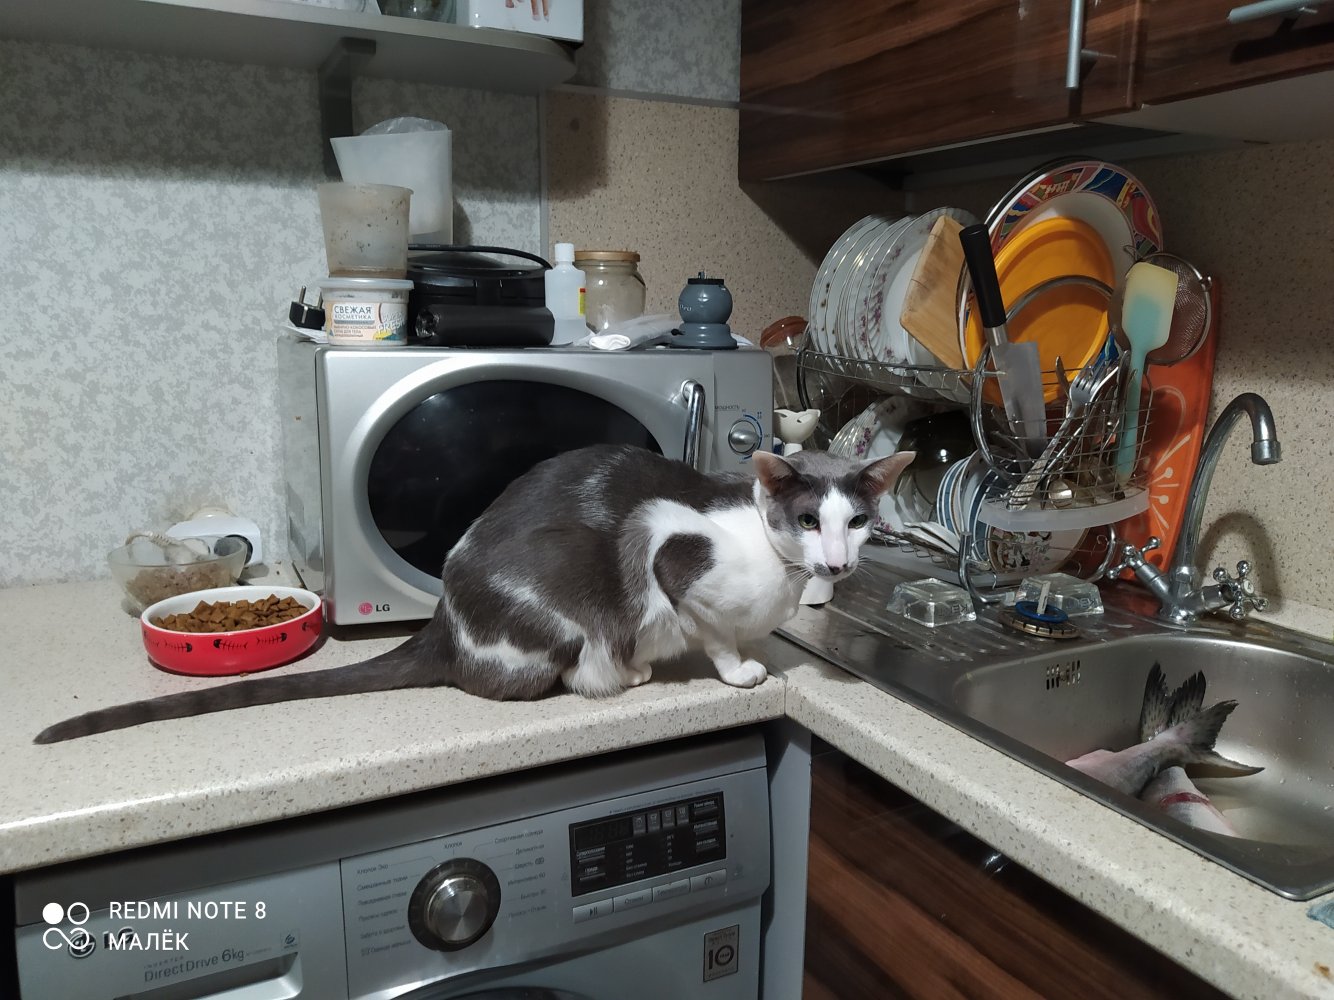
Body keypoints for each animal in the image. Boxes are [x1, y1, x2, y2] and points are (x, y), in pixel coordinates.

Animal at [35, 443, 912, 743]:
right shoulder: (670, 549)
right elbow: (716, 633)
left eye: (859, 522)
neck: (778, 569)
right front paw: (739, 671)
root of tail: (443, 627)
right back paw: (622, 673)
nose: (838, 565)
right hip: (563, 614)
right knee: (552, 674)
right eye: (808, 520)